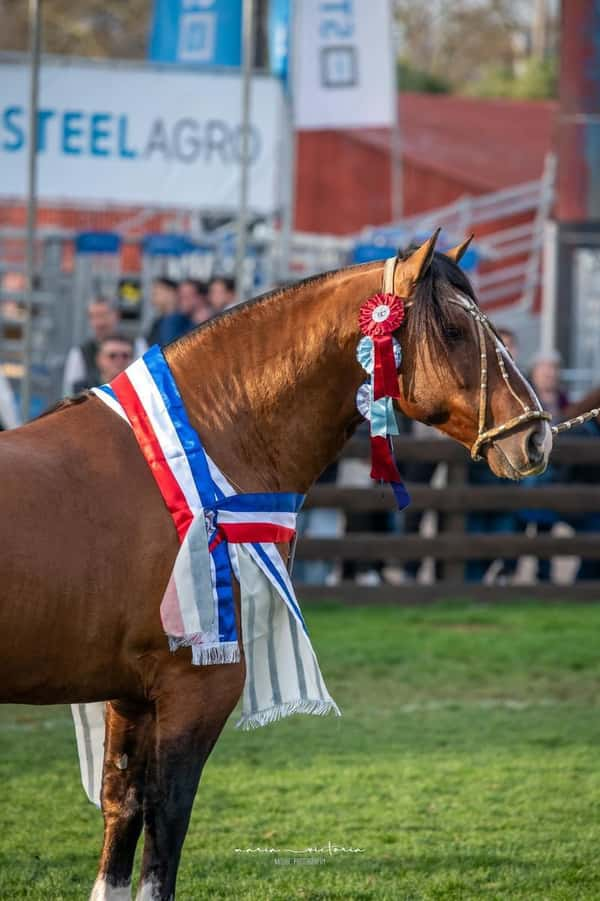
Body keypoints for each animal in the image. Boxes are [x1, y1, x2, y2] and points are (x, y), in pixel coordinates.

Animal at [0, 236, 552, 896]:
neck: (189, 459)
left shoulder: (128, 694)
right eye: (452, 330)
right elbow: (166, 822)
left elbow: (123, 808)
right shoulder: (195, 688)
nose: (536, 437)